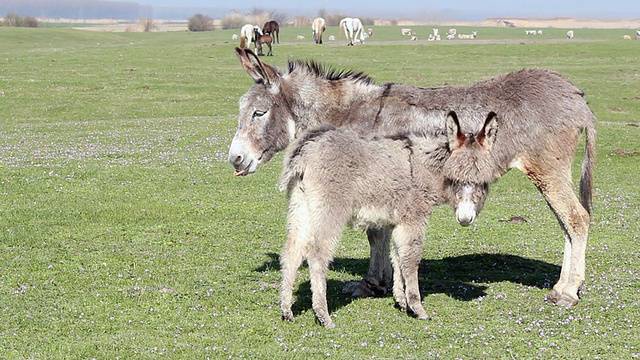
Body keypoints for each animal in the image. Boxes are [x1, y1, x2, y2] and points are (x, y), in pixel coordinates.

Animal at [278, 111, 492, 328]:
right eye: (454, 178)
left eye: (483, 181)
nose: (465, 218)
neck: (425, 167)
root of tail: (305, 147)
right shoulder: (414, 219)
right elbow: (410, 259)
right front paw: (417, 307)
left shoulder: (398, 222)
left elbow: (397, 256)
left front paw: (401, 301)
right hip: (329, 209)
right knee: (317, 254)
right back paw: (323, 315)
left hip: (301, 205)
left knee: (292, 251)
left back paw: (287, 310)